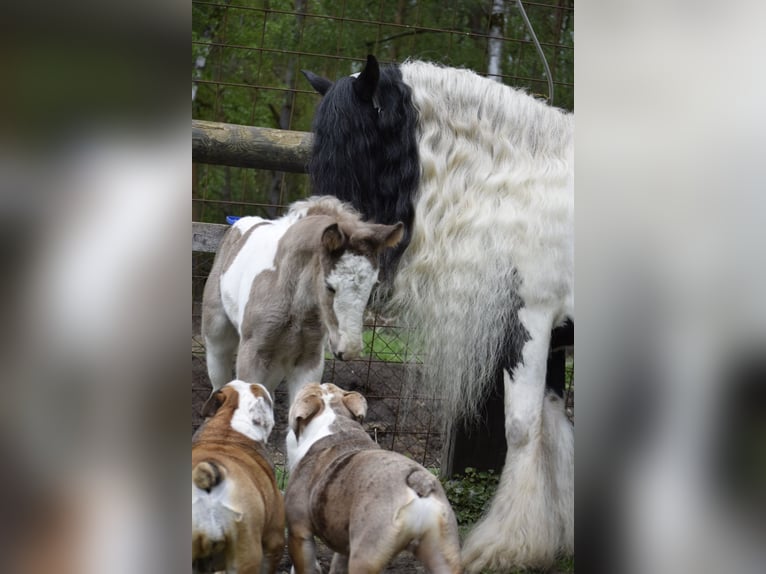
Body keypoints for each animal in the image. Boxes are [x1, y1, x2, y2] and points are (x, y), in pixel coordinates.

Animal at [201, 195, 403, 405]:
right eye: (329, 286)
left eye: (372, 285)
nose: (349, 349)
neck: (296, 305)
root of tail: (237, 224)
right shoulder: (252, 353)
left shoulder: (309, 360)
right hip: (217, 332)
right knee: (219, 373)